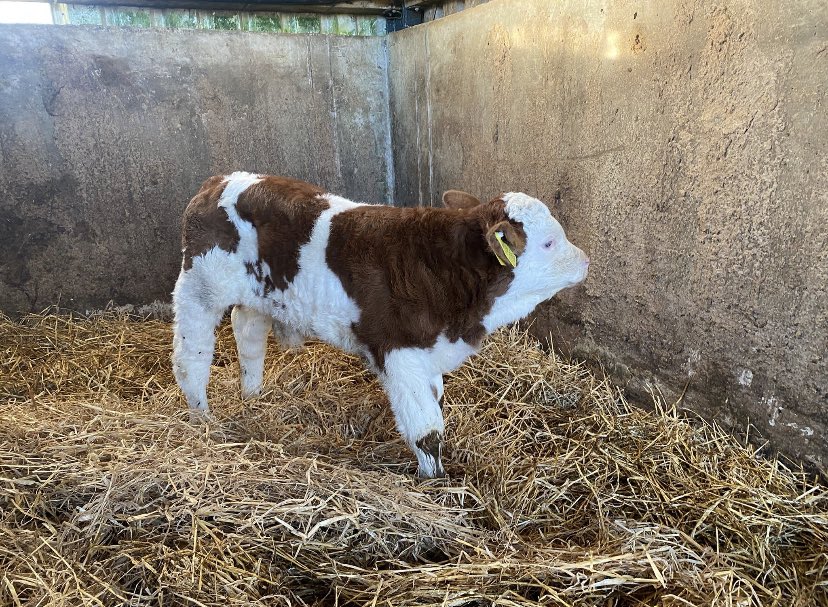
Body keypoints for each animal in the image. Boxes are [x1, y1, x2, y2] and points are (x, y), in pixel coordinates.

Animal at [172, 172, 589, 478]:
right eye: (549, 243)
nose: (586, 260)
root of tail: (218, 181)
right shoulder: (399, 352)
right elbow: (426, 430)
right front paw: (436, 485)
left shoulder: (427, 354)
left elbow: (436, 404)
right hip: (199, 287)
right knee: (191, 358)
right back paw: (203, 419)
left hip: (258, 292)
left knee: (248, 332)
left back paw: (253, 395)